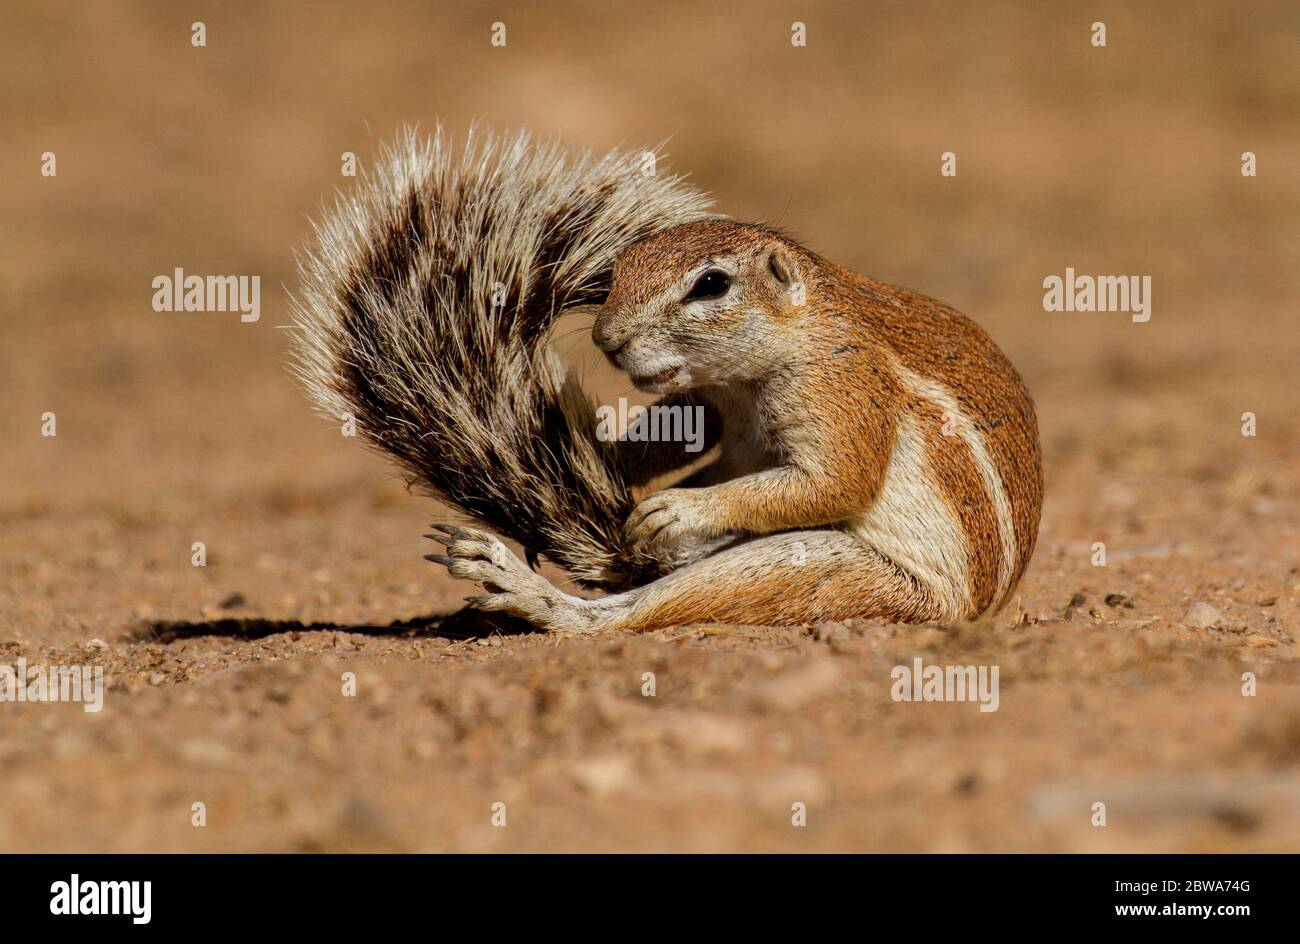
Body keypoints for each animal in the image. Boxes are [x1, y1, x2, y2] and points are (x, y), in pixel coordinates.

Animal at [289, 125, 1040, 637]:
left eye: (711, 284)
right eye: (623, 265)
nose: (606, 338)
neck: (757, 370)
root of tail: (975, 610)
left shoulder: (842, 390)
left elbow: (833, 480)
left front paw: (676, 509)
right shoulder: (712, 404)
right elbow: (683, 432)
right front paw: (613, 459)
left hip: (827, 572)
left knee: (633, 612)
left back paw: (534, 588)